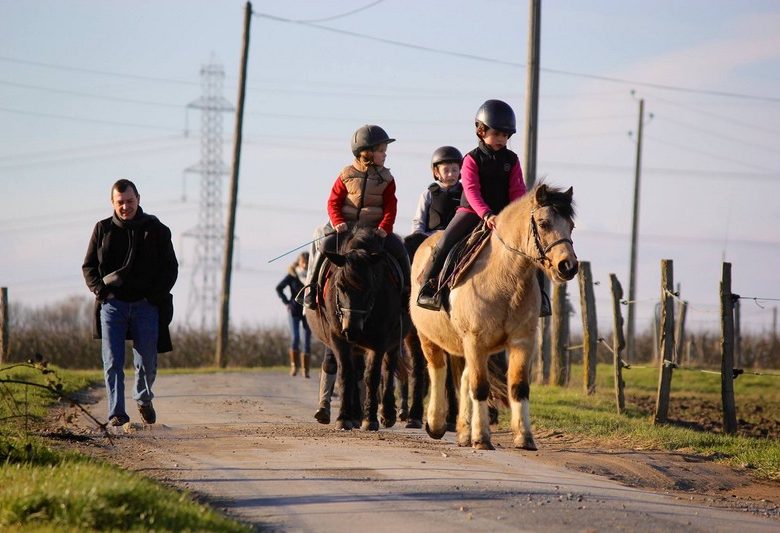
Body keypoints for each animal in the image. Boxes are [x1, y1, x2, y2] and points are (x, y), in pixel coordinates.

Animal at [304, 227, 408, 430]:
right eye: (340, 286)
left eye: (371, 288)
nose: (351, 329)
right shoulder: (339, 339)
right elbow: (346, 374)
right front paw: (344, 417)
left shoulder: (380, 341)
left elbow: (373, 376)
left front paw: (371, 419)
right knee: (355, 373)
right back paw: (354, 415)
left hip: (392, 342)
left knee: (388, 369)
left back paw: (386, 413)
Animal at [412, 183, 576, 448]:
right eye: (543, 223)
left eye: (571, 225)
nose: (568, 266)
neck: (506, 280)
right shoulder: (475, 340)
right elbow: (480, 387)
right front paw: (481, 438)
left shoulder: (522, 342)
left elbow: (518, 387)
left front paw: (524, 437)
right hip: (428, 337)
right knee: (437, 369)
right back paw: (436, 424)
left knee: (464, 378)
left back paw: (463, 431)